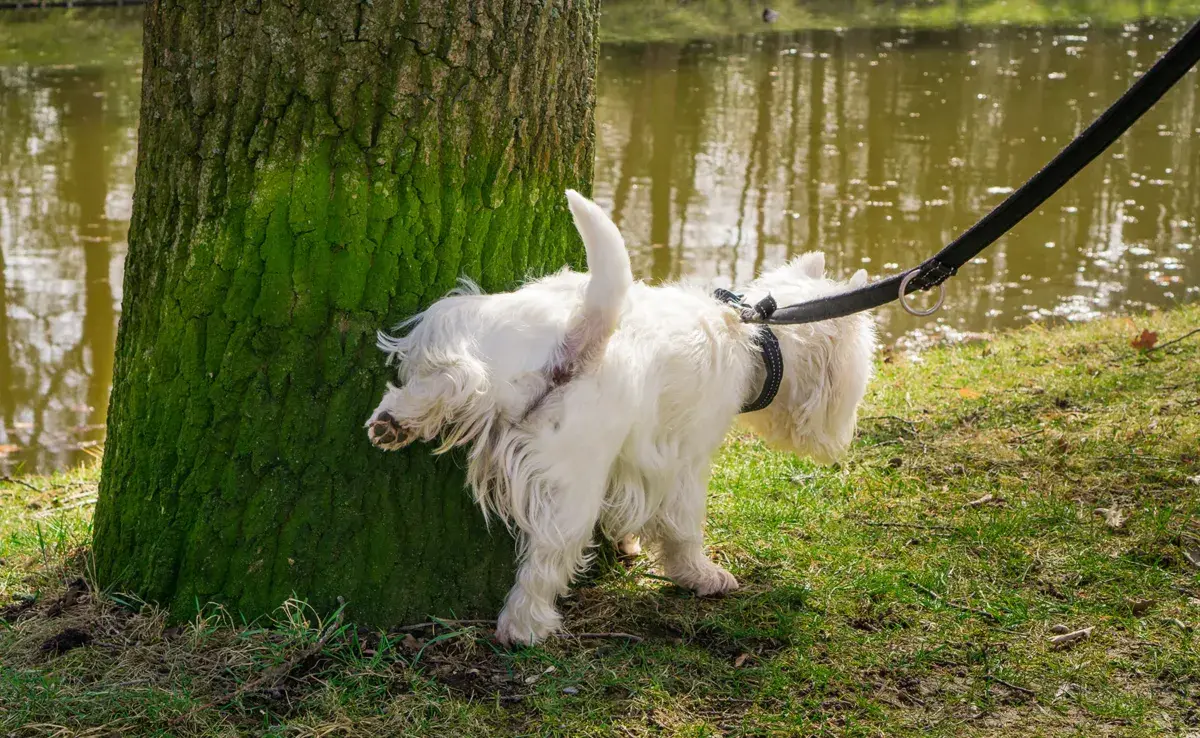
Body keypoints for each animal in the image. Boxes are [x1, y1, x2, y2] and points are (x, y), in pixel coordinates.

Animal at [362, 192, 873, 648]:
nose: (843, 441)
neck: (755, 333)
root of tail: (581, 334)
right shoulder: (685, 461)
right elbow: (683, 528)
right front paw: (702, 575)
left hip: (479, 337)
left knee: (455, 381)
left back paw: (396, 420)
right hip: (573, 479)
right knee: (547, 557)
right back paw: (525, 627)